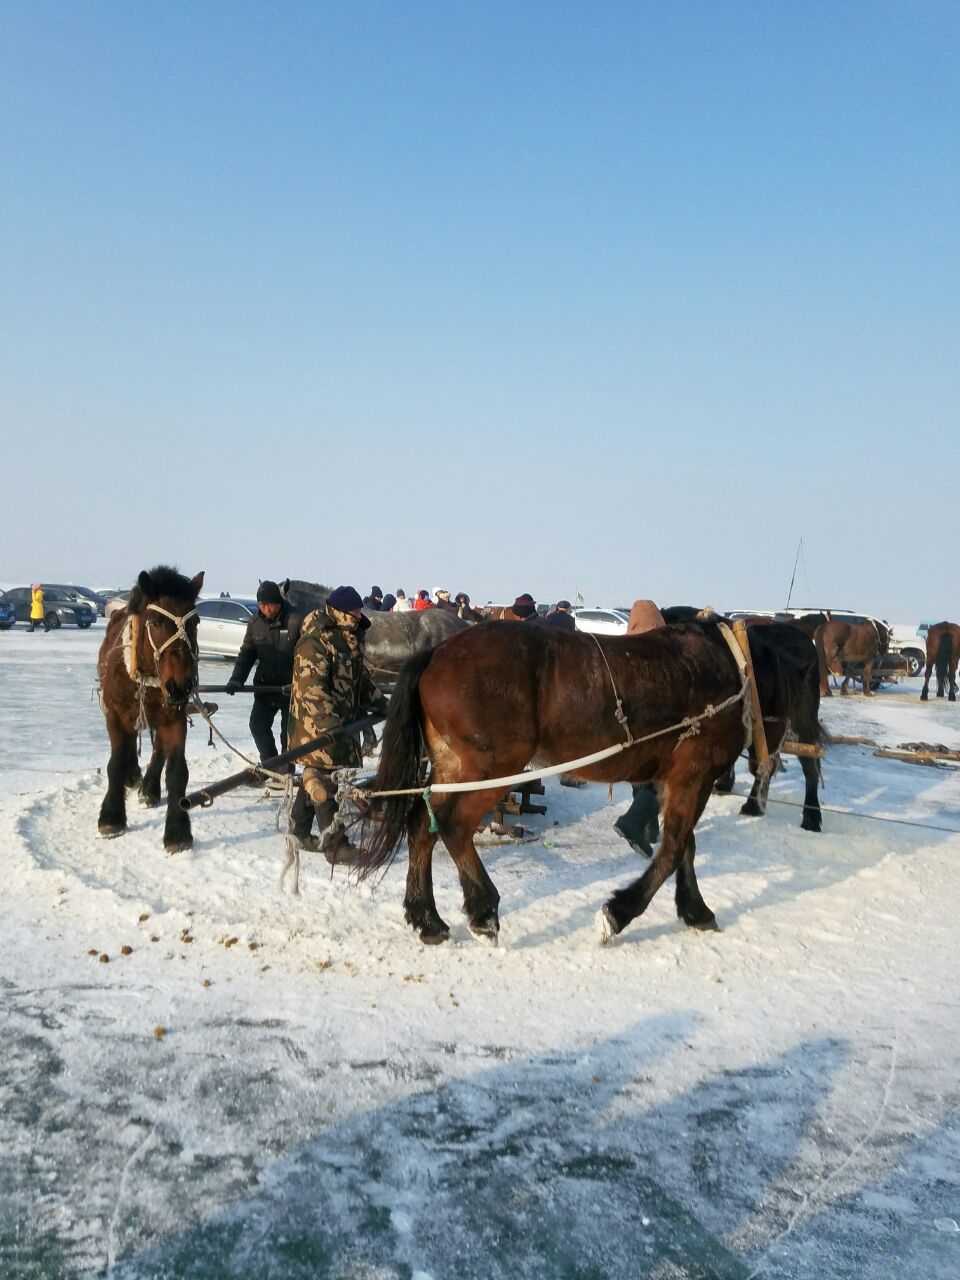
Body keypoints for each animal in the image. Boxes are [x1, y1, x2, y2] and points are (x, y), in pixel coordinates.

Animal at [97, 563, 204, 844]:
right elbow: (115, 763)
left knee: (157, 750)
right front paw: (111, 816)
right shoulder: (115, 715)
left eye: (195, 622)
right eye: (156, 622)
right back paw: (132, 774)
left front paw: (177, 831)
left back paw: (148, 788)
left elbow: (177, 771)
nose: (180, 685)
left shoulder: (174, 717)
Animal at [358, 624, 824, 947]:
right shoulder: (694, 776)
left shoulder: (674, 780)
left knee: (423, 824)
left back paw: (427, 919)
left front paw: (695, 909)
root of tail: (436, 652)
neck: (730, 670)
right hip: (491, 769)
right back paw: (482, 910)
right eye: (802, 695)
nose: (797, 748)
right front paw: (618, 914)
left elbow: (685, 846)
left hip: (454, 767)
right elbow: (674, 847)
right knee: (453, 827)